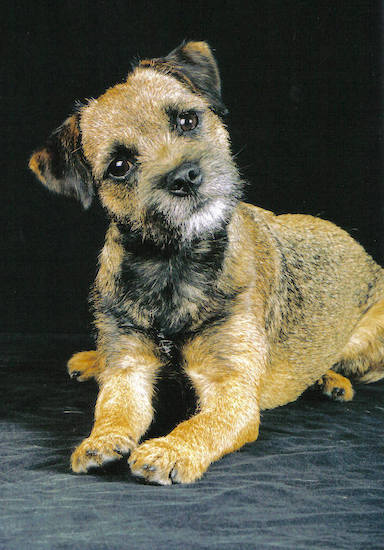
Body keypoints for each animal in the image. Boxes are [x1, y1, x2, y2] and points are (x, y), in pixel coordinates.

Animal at [30, 41, 384, 486]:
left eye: (187, 119)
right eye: (120, 166)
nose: (185, 177)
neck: (172, 266)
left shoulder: (229, 390)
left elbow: (202, 423)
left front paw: (171, 450)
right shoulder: (128, 368)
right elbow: (114, 407)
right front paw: (102, 439)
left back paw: (329, 378)